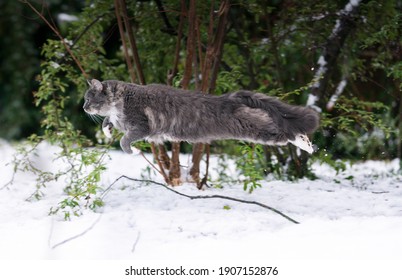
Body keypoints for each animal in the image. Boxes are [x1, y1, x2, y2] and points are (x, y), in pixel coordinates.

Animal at [83, 78, 318, 153]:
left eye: (88, 99)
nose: (84, 108)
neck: (121, 98)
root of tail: (230, 98)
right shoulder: (122, 121)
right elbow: (107, 122)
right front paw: (106, 130)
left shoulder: (141, 126)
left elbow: (125, 139)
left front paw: (130, 150)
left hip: (253, 128)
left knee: (286, 134)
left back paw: (307, 144)